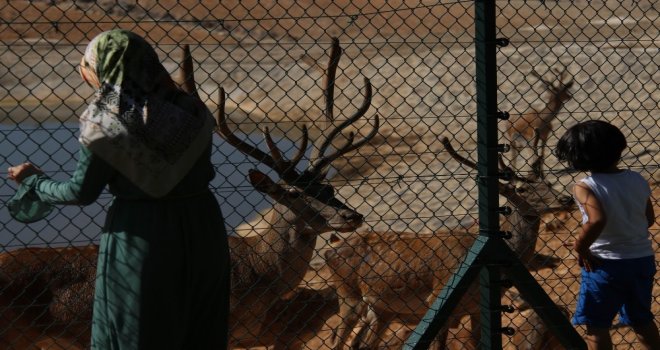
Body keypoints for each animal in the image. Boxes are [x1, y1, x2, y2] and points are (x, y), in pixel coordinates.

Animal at [324, 133, 572, 348]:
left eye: (549, 183)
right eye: (522, 189)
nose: (566, 198)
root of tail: (330, 249)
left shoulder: (475, 307)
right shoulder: (438, 299)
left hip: (381, 310)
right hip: (348, 295)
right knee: (338, 342)